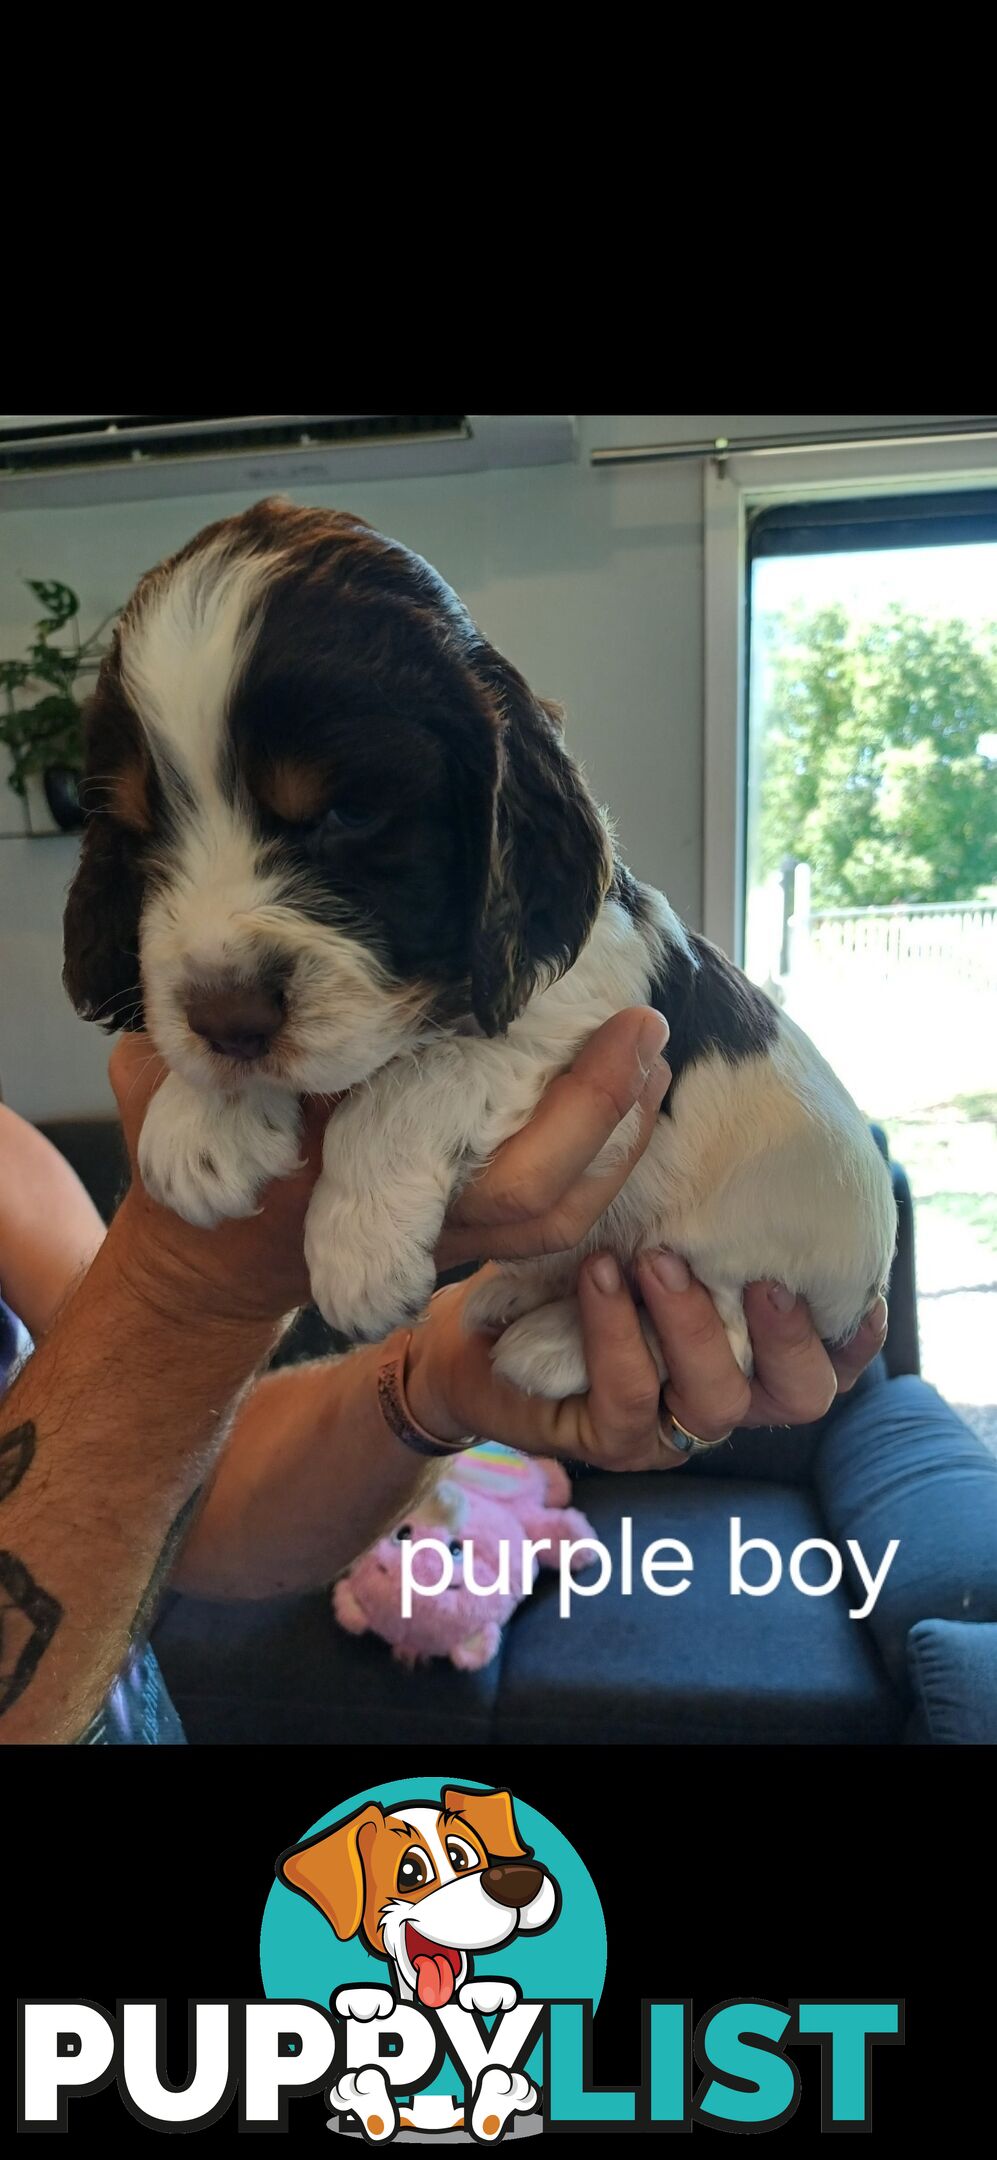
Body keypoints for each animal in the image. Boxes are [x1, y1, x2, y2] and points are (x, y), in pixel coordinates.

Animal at [62, 494, 897, 1399]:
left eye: (348, 815)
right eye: (139, 831)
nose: (228, 1022)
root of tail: (863, 1295)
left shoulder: (580, 1012)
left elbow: (412, 1080)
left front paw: (358, 1248)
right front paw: (198, 1125)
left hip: (748, 1251)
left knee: (725, 1321)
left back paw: (556, 1345)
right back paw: (511, 1291)